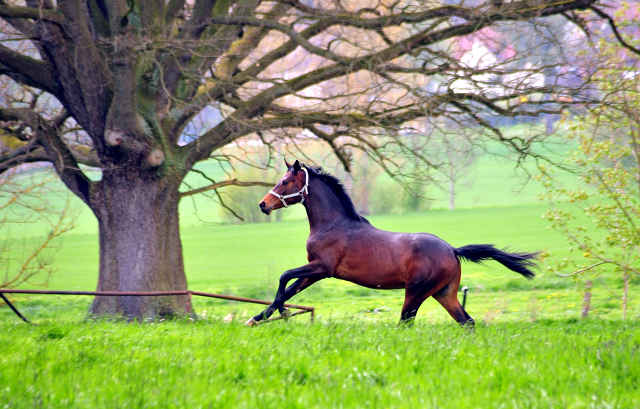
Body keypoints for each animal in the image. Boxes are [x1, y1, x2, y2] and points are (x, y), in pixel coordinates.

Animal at [242, 159, 536, 326]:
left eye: (285, 181)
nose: (263, 204)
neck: (332, 224)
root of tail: (452, 250)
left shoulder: (322, 268)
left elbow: (284, 278)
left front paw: (280, 312)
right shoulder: (315, 272)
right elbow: (290, 289)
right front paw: (256, 319)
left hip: (415, 292)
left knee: (406, 323)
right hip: (444, 293)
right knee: (468, 322)